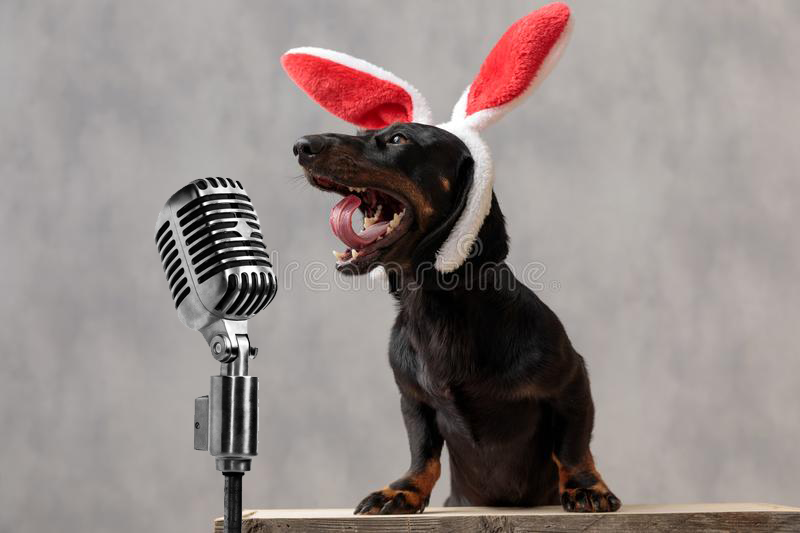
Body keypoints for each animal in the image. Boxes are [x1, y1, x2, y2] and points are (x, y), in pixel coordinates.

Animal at [285, 2, 620, 515]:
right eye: (366, 132)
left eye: (398, 139)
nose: (302, 146)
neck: (436, 307)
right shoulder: (413, 400)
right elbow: (422, 450)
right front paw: (402, 490)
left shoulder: (571, 382)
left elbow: (573, 444)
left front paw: (586, 487)